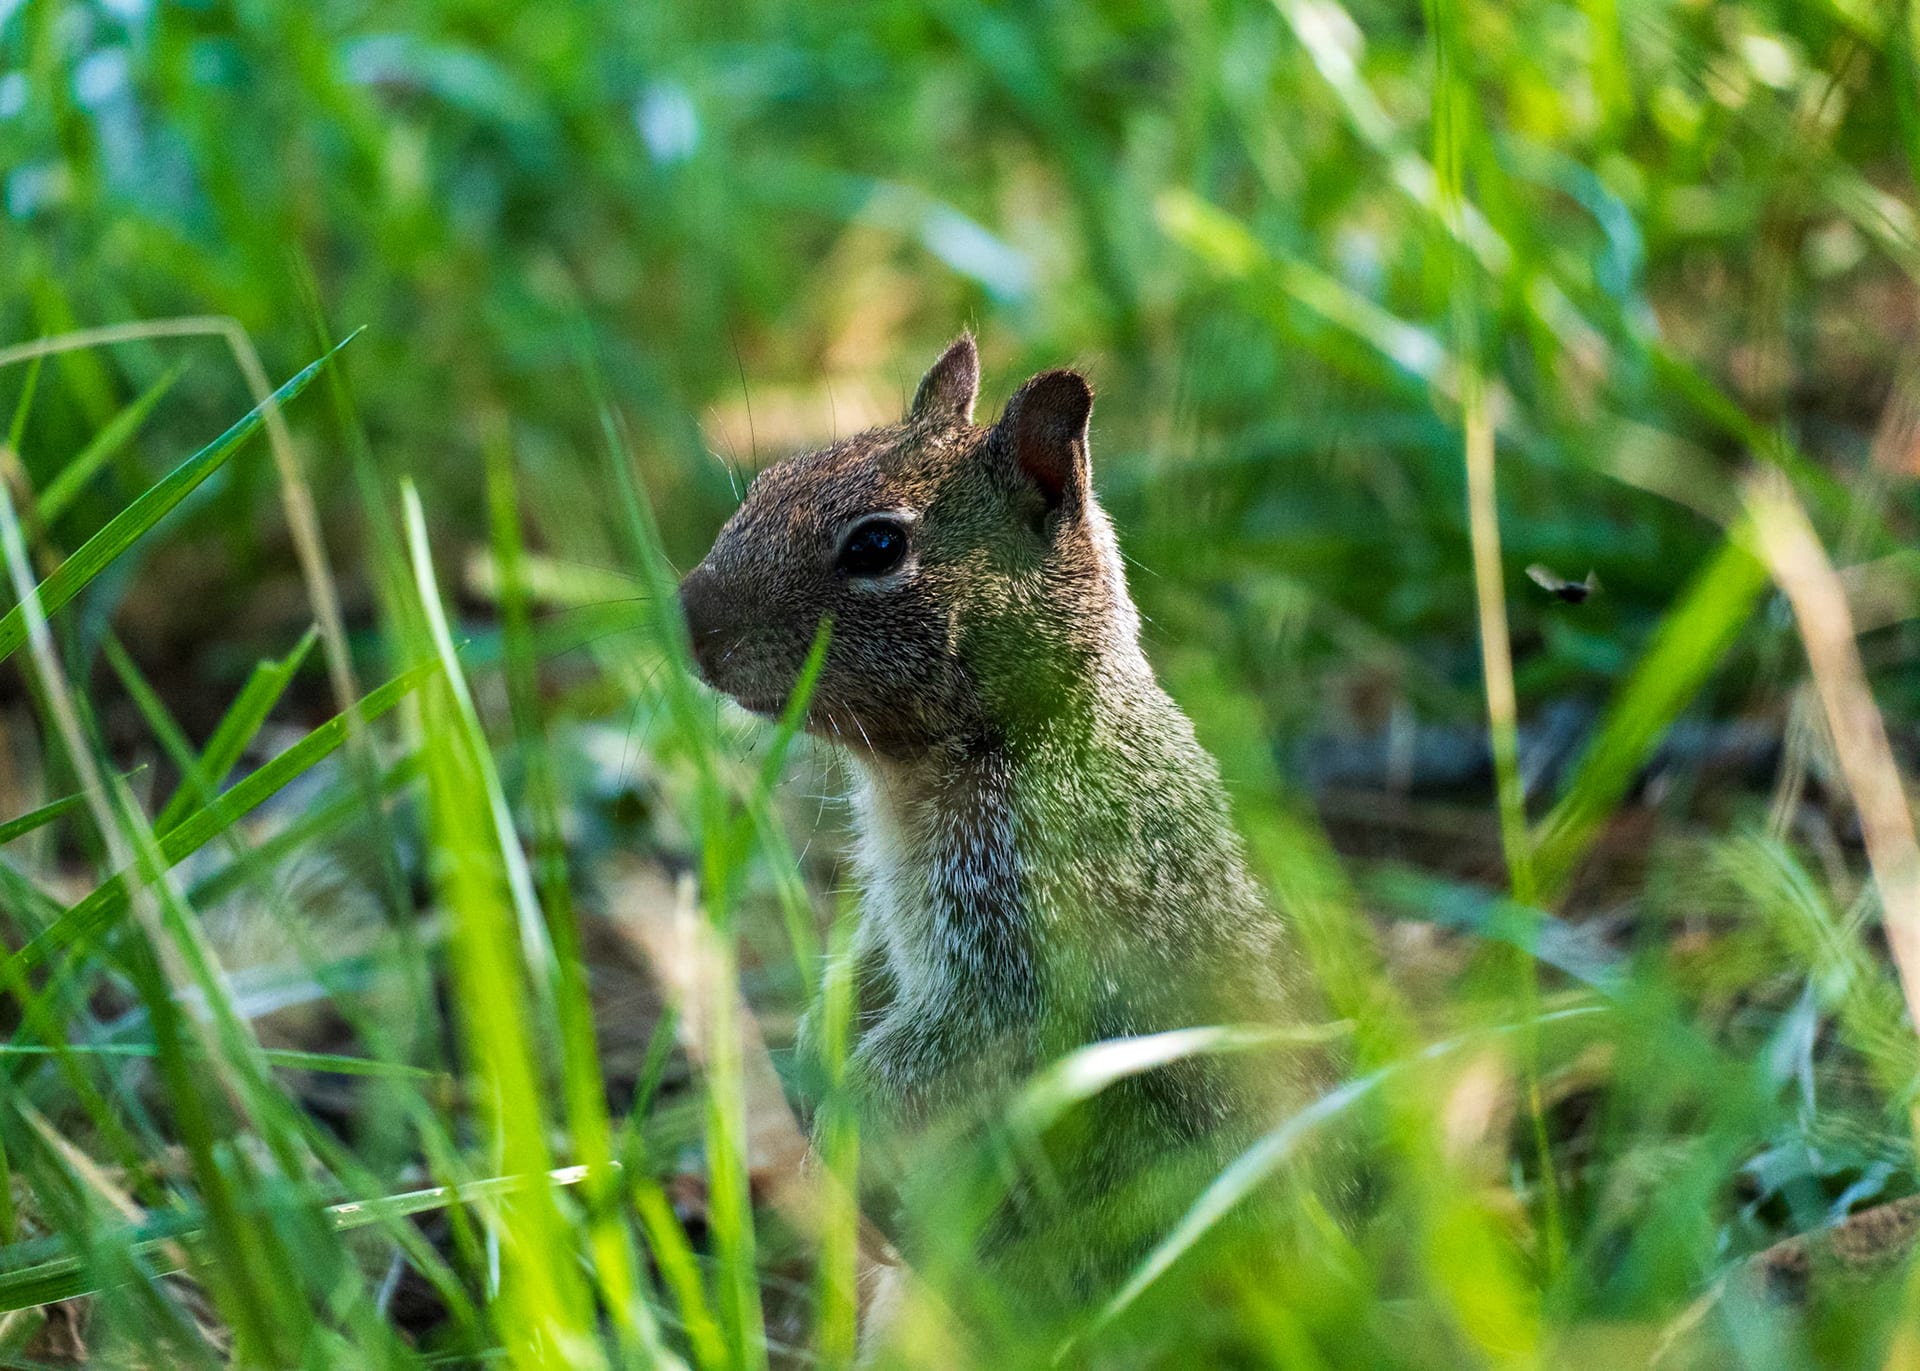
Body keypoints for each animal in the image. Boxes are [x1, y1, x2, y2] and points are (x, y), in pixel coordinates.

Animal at [677, 335, 1322, 1306]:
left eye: (878, 544)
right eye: (770, 478)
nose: (691, 621)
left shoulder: (1022, 931)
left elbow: (952, 1038)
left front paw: (841, 1133)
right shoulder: (892, 909)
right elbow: (861, 976)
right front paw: (815, 1056)